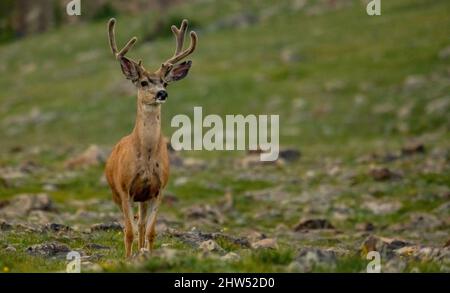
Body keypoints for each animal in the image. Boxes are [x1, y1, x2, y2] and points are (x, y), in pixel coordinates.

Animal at [105, 17, 197, 256]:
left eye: (164, 82)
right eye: (144, 82)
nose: (162, 93)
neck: (145, 156)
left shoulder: (158, 189)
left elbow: (150, 231)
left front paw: (148, 253)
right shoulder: (125, 189)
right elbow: (128, 231)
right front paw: (128, 258)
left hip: (143, 198)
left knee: (141, 224)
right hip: (116, 193)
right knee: (129, 226)